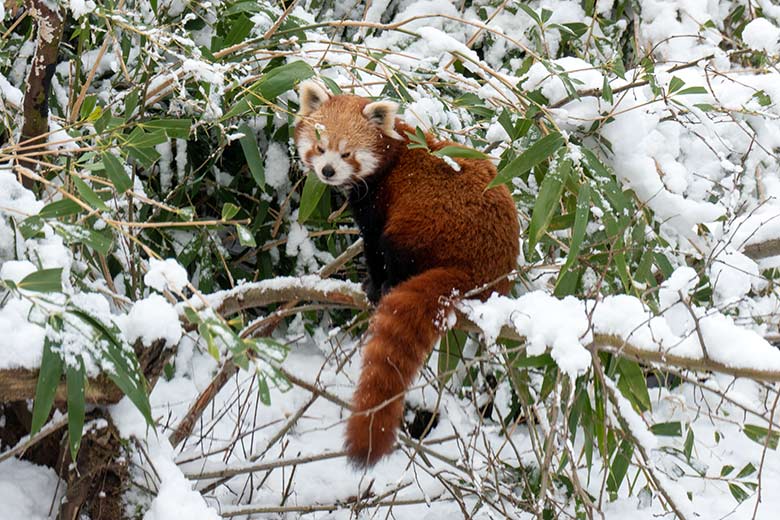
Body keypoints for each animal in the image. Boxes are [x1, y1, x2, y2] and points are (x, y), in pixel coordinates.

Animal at [292, 81, 516, 468]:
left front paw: (373, 282)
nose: (328, 171)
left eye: (347, 153)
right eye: (320, 147)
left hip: (426, 223)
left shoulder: (379, 201)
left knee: (395, 247)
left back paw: (388, 285)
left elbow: (373, 244)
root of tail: (485, 269)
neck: (393, 155)